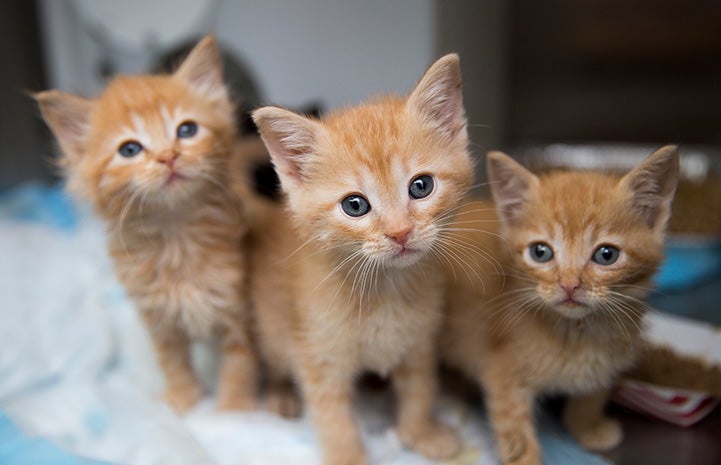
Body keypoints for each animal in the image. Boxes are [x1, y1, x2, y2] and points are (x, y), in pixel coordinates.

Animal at [36, 37, 258, 414]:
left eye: (186, 130)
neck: (176, 233)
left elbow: (239, 363)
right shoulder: (158, 319)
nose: (168, 156)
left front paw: (232, 412)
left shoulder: (237, 308)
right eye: (129, 149)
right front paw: (183, 404)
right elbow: (174, 365)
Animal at [250, 55, 476, 464]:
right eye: (355, 205)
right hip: (272, 326)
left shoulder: (418, 340)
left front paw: (422, 432)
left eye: (421, 186)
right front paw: (348, 456)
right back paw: (279, 394)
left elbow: (420, 388)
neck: (384, 289)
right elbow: (332, 414)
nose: (400, 232)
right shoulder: (317, 351)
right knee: (275, 361)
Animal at [438, 146, 680, 464]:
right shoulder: (503, 372)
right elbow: (513, 423)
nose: (569, 285)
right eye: (540, 252)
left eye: (606, 255)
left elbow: (592, 394)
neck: (575, 332)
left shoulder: (608, 358)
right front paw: (526, 458)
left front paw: (588, 427)